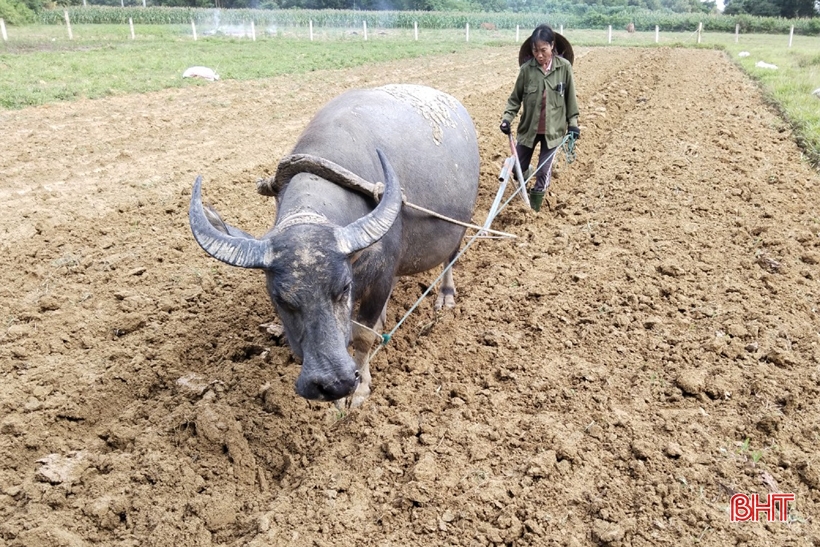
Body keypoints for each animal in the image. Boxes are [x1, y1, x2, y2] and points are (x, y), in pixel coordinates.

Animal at [190, 85, 480, 408]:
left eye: (343, 288)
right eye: (281, 299)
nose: (334, 383)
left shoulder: (380, 276)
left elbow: (362, 335)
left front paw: (361, 387)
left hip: (460, 227)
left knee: (451, 258)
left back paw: (445, 296)